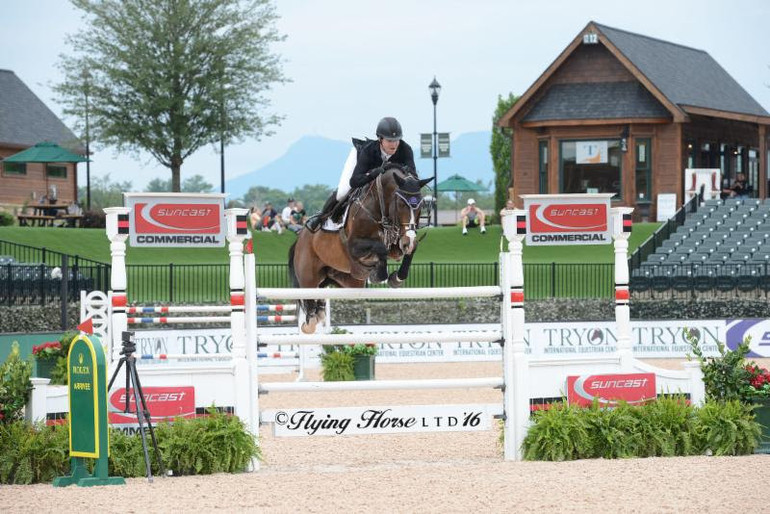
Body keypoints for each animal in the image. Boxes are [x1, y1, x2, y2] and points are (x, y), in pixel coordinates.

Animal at [288, 163, 432, 332]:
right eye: (401, 204)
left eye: (421, 205)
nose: (408, 242)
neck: (379, 206)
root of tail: (299, 238)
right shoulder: (354, 245)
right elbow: (380, 248)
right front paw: (379, 274)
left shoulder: (398, 243)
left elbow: (406, 250)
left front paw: (396, 277)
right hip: (308, 278)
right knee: (309, 305)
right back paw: (310, 321)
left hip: (344, 280)